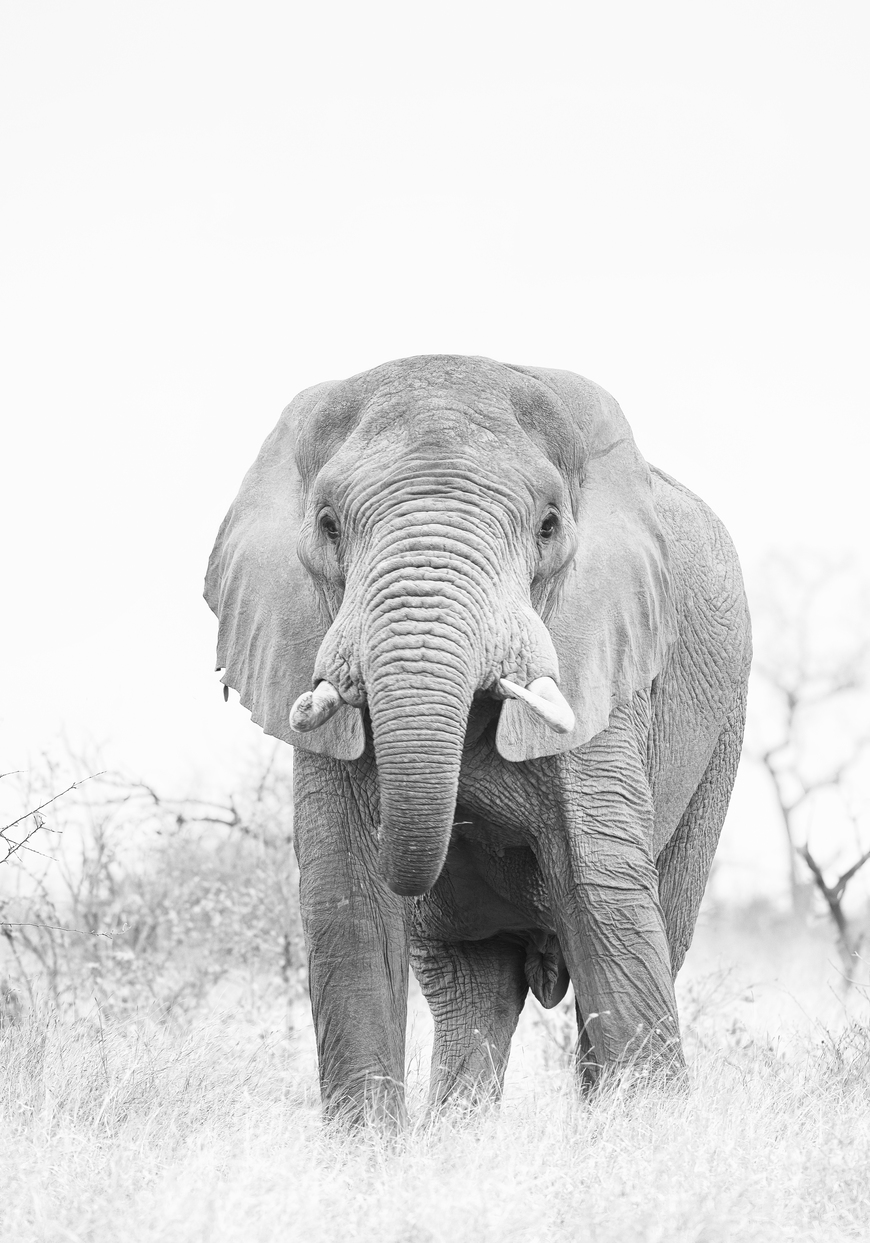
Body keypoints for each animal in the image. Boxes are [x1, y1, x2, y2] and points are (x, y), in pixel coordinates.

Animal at [204, 354, 751, 1123]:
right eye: (329, 525)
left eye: (548, 526)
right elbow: (345, 892)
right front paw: (365, 1149)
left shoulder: (601, 661)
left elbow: (603, 889)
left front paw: (655, 1134)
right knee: (472, 986)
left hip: (721, 741)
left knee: (652, 924)